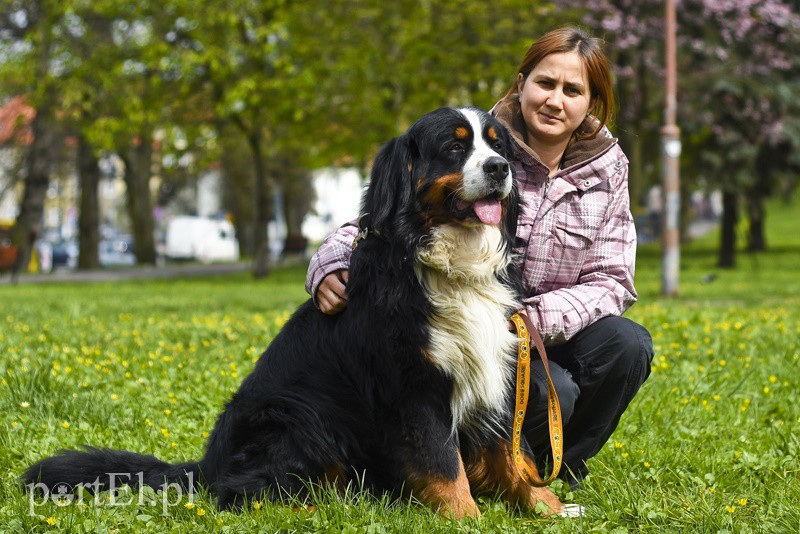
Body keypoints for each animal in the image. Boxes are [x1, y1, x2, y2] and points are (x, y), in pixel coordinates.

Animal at [21, 107, 564, 520]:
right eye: (454, 147)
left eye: (497, 144)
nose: (500, 168)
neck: (450, 266)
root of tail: (208, 462)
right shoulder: (414, 386)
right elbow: (441, 462)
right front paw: (465, 516)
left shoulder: (495, 369)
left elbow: (514, 451)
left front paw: (546, 505)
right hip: (295, 414)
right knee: (240, 492)